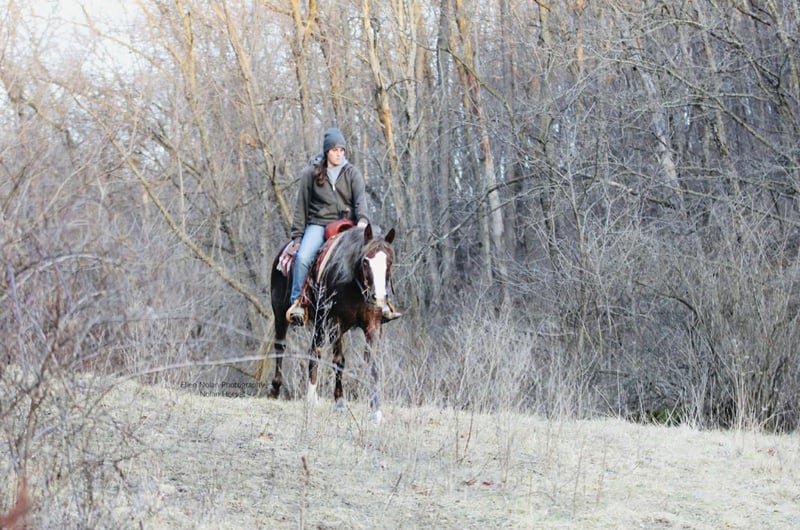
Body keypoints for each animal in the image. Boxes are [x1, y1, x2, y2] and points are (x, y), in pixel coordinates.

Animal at [266, 224, 397, 422]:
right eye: (365, 262)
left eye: (388, 261)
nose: (379, 297)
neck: (352, 281)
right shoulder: (336, 322)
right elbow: (339, 360)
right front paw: (340, 403)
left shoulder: (373, 325)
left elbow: (373, 363)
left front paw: (376, 411)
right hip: (281, 314)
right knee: (280, 346)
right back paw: (275, 388)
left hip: (319, 324)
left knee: (314, 351)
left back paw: (312, 397)